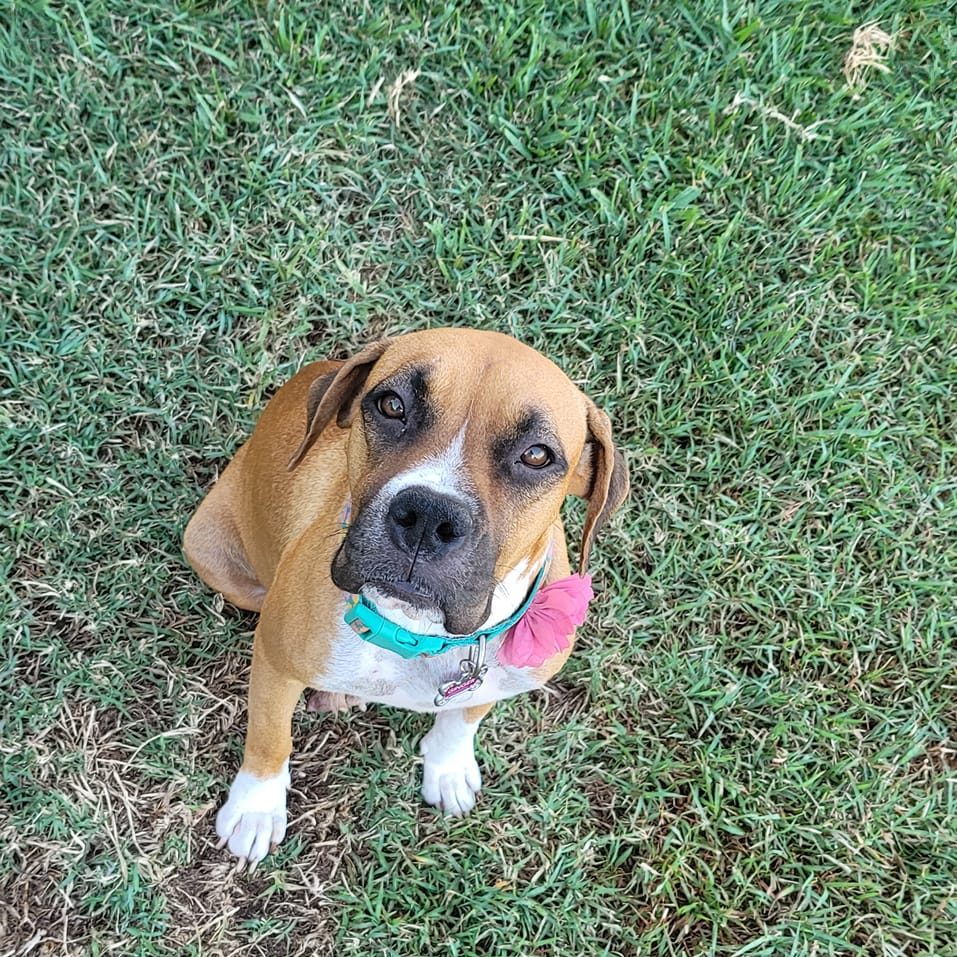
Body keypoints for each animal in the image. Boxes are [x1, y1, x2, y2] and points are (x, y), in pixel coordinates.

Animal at [184, 328, 632, 868]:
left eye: (537, 455)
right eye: (392, 405)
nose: (427, 515)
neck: (418, 631)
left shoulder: (496, 675)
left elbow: (465, 718)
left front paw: (448, 766)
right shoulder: (275, 661)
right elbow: (271, 737)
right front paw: (256, 807)